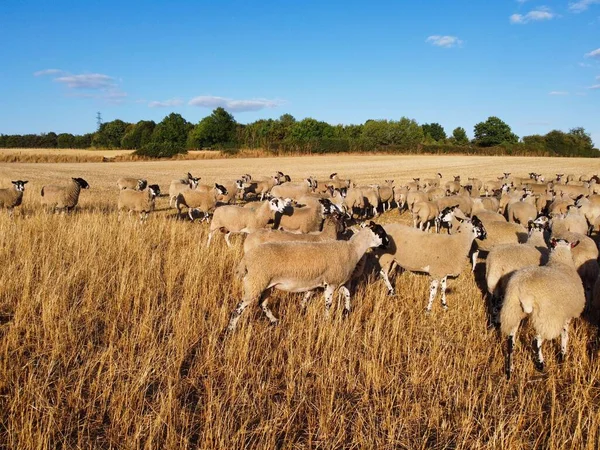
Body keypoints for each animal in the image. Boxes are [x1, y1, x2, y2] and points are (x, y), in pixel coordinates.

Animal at [226, 221, 390, 330]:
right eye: (381, 232)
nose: (388, 244)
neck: (352, 249)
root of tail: (246, 259)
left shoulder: (338, 281)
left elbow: (347, 294)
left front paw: (346, 312)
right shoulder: (331, 283)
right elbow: (328, 304)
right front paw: (327, 322)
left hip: (266, 283)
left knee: (263, 303)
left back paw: (274, 321)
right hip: (255, 281)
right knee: (238, 308)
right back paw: (230, 330)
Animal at [502, 237, 584, 378]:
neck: (561, 262)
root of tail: (523, 290)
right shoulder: (566, 315)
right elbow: (565, 335)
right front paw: (563, 357)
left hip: (512, 311)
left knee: (510, 342)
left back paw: (509, 372)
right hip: (546, 317)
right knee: (536, 341)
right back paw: (541, 365)